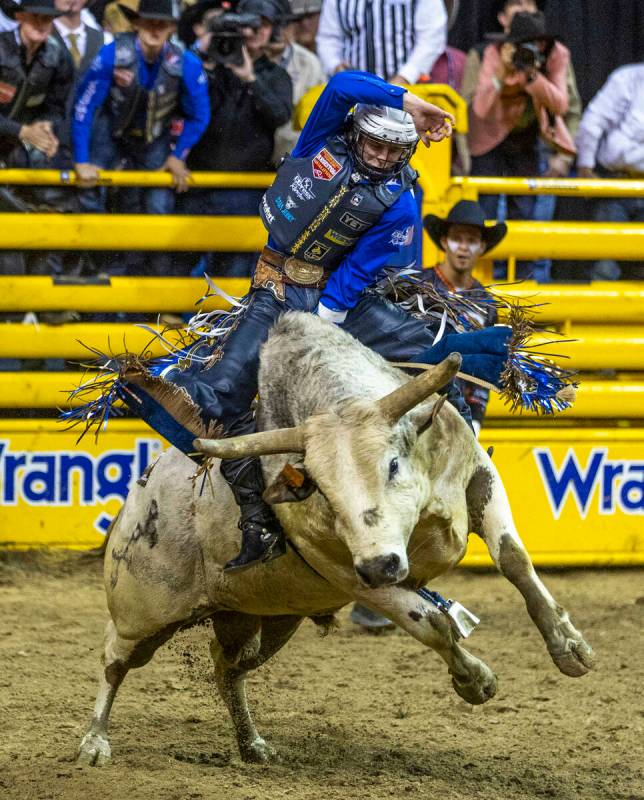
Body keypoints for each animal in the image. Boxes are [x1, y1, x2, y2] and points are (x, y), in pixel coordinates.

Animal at [78, 310, 596, 764]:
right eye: (322, 491)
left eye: (392, 463)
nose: (382, 565)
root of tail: (137, 497)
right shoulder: (349, 574)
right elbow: (432, 622)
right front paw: (476, 681)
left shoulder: (479, 476)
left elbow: (514, 561)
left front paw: (569, 648)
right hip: (142, 609)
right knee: (114, 660)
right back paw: (95, 741)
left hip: (264, 617)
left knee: (228, 667)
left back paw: (252, 744)